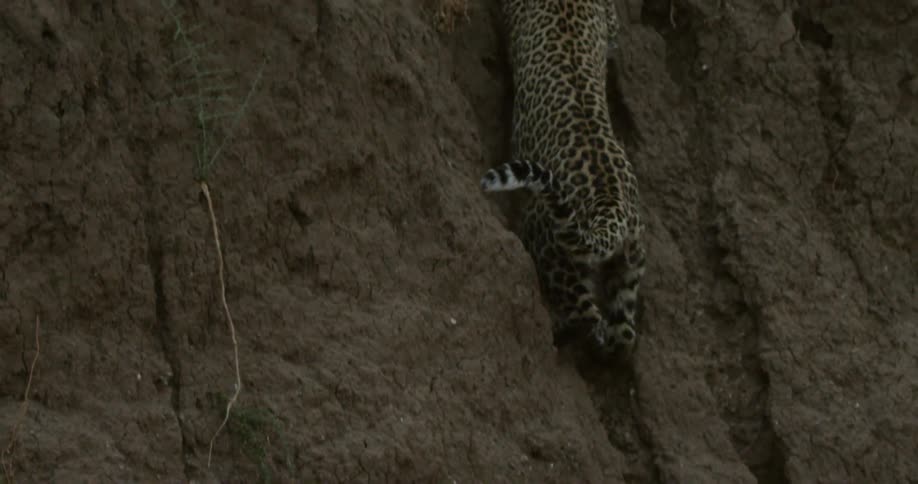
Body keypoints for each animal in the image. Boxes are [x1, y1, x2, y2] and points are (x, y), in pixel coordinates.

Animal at [480, 0, 645, 357]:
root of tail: (612, 204)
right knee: (622, 332)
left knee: (589, 317)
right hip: (630, 264)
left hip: (549, 245)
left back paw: (556, 327)